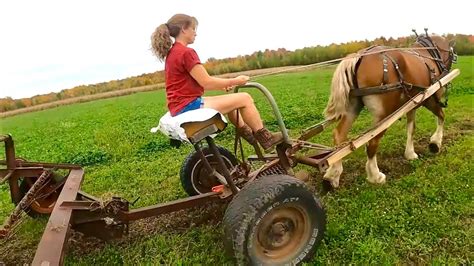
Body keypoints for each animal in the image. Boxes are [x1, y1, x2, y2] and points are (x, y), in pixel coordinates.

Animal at [322, 31, 456, 187]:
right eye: (451, 54)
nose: (448, 67)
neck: (430, 55)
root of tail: (360, 56)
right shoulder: (429, 98)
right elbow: (441, 116)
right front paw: (435, 143)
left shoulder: (412, 104)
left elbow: (411, 128)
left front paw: (410, 153)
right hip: (384, 114)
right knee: (372, 141)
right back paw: (375, 176)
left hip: (352, 107)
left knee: (339, 136)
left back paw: (332, 175)